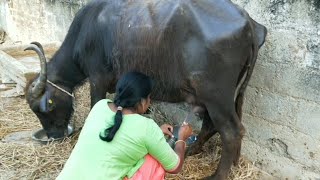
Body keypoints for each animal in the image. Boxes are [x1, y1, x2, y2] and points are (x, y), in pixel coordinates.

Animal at [25, 0, 266, 179]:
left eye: (44, 109)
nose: (54, 135)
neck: (86, 32)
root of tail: (248, 23)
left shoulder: (98, 79)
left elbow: (96, 104)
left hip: (215, 95)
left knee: (231, 131)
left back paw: (217, 175)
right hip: (230, 94)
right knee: (214, 125)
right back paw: (200, 152)